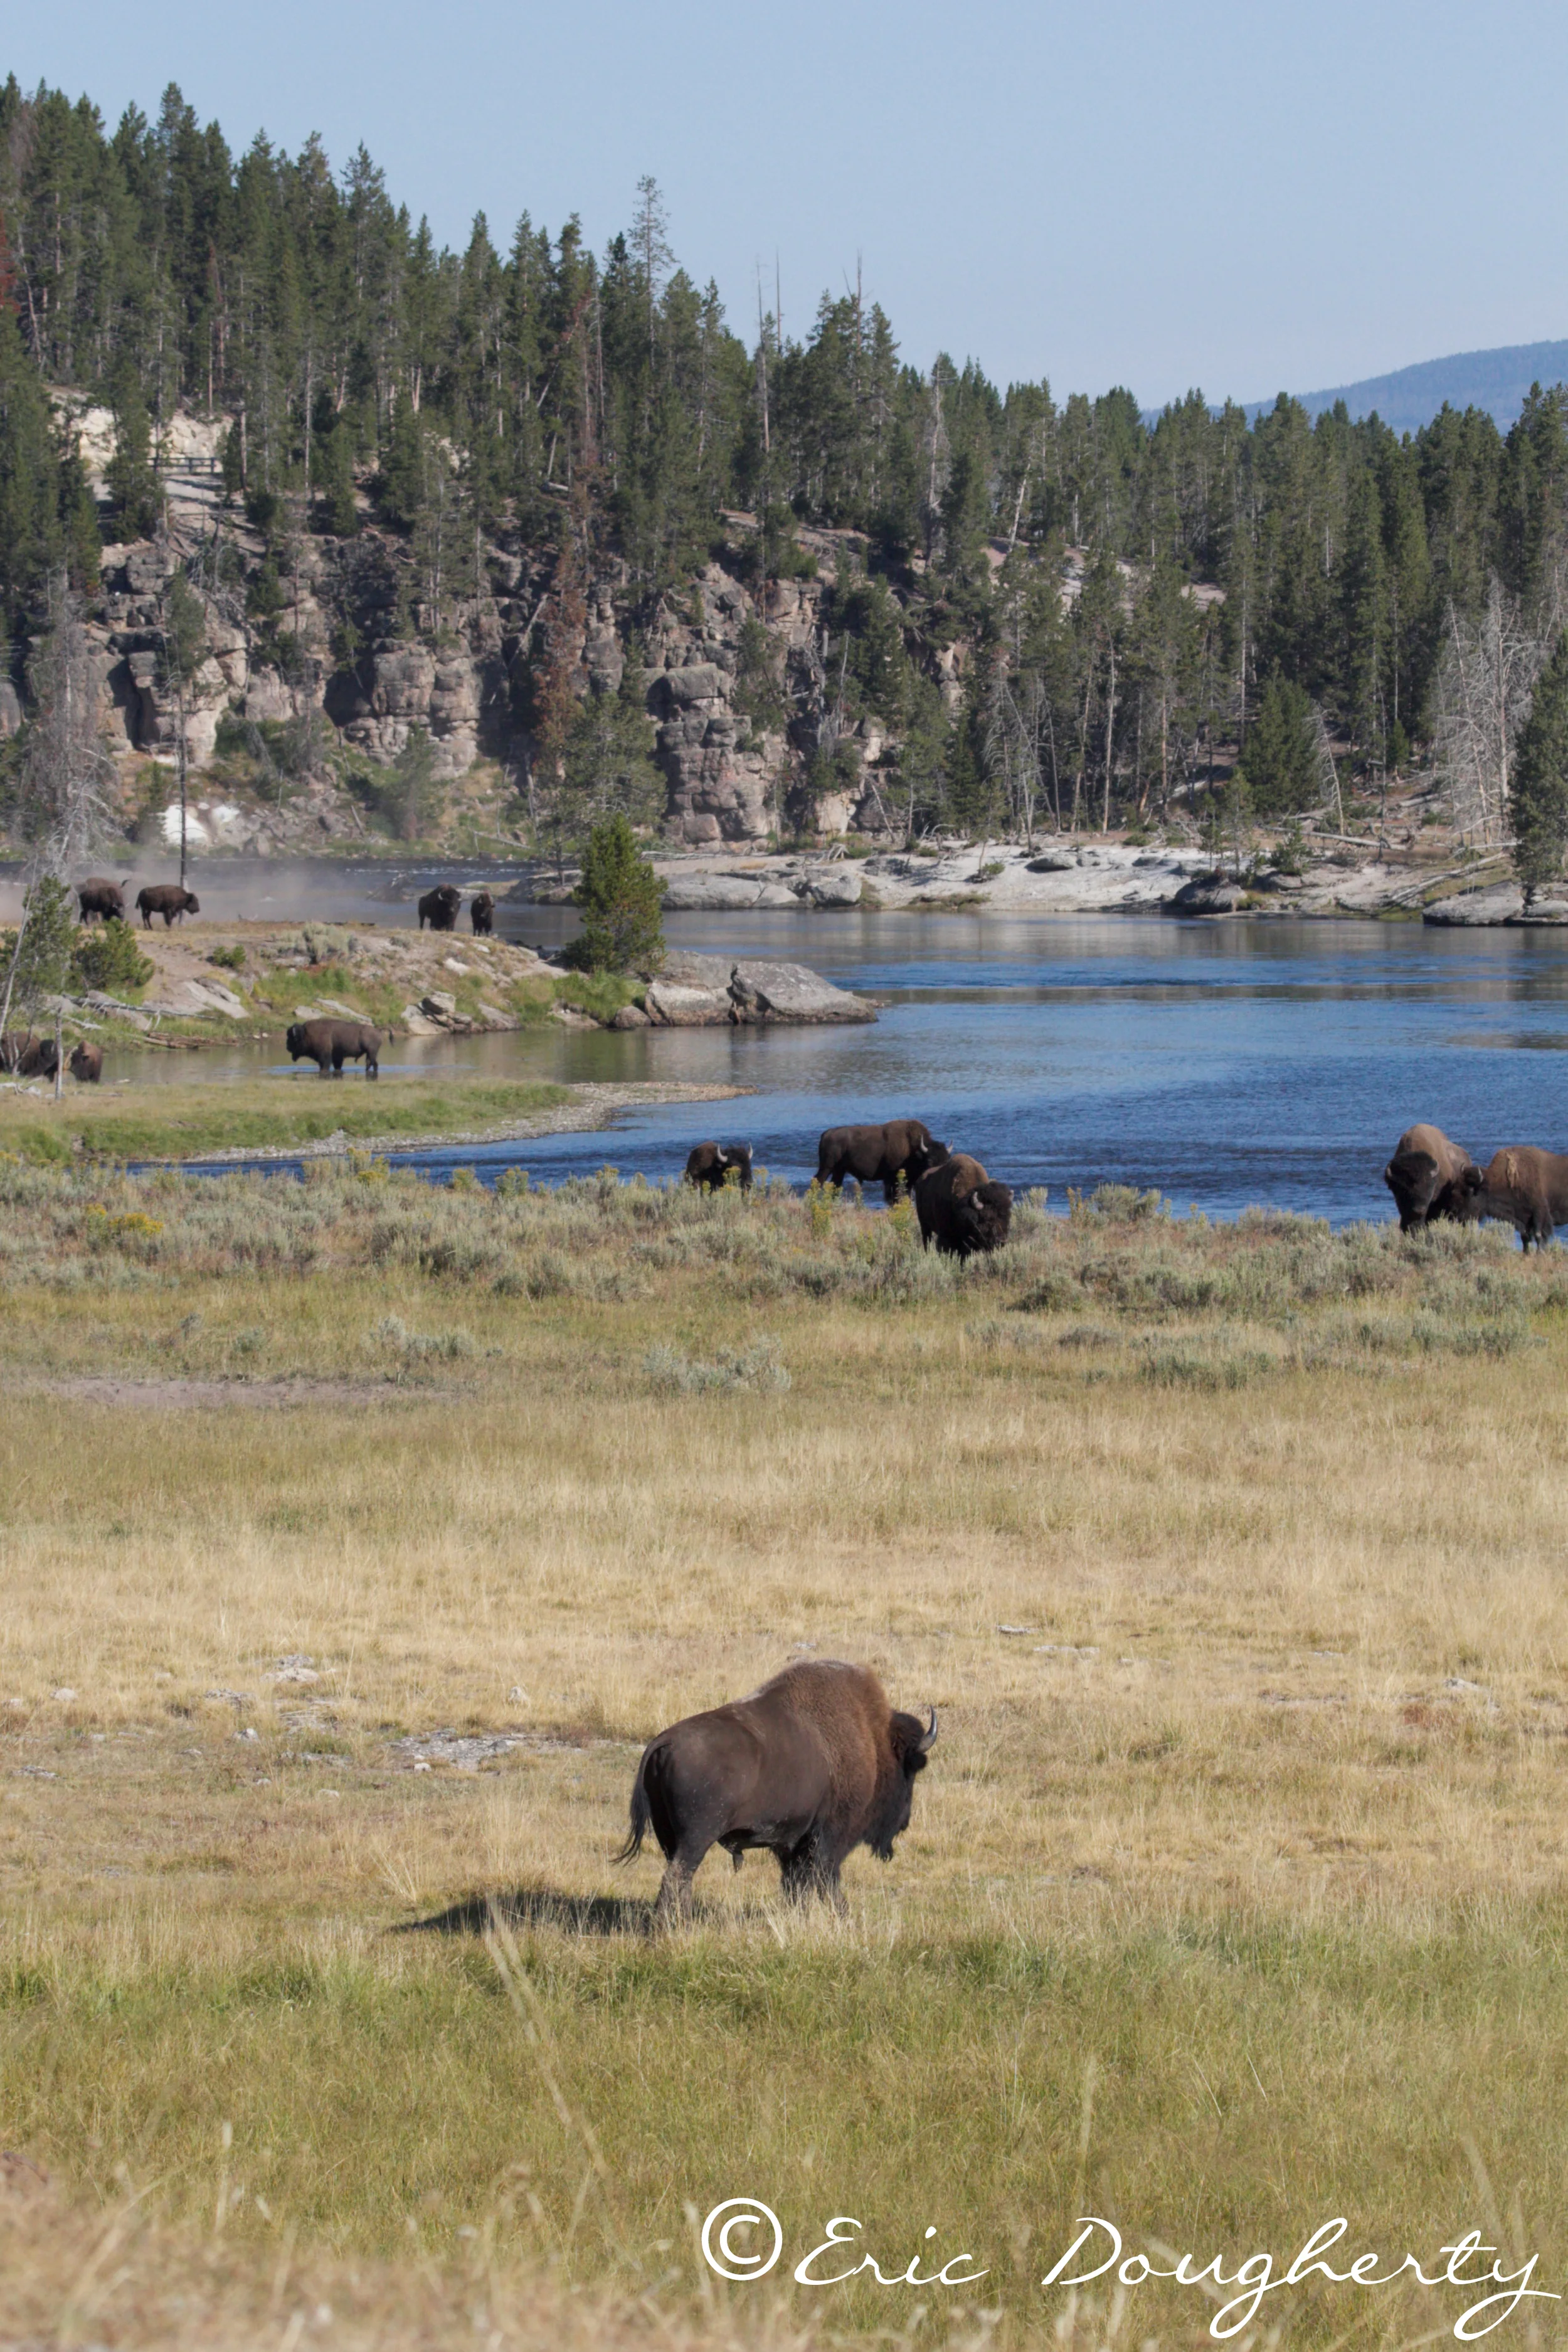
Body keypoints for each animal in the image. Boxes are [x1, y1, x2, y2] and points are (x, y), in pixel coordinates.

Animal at [286, 1018, 381, 1079]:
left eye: (293, 1038)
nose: (287, 1047)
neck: (306, 1034)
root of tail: (378, 1032)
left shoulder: (325, 1057)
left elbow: (325, 1066)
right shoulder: (337, 1058)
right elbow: (337, 1067)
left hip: (371, 1053)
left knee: (371, 1064)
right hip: (371, 1054)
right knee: (373, 1064)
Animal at [619, 1659, 937, 1922]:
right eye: (911, 1770)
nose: (904, 1822)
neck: (873, 1741)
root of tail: (665, 1741)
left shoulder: (793, 1842)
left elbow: (797, 1885)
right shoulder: (830, 1837)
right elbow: (825, 1880)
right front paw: (843, 1918)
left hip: (669, 1837)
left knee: (679, 1879)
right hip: (696, 1838)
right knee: (677, 1878)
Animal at [815, 1118, 950, 1204]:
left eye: (946, 1161)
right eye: (930, 1162)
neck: (913, 1149)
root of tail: (827, 1133)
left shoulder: (909, 1181)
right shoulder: (893, 1179)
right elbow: (894, 1197)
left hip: (839, 1171)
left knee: (835, 1186)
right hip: (826, 1167)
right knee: (818, 1181)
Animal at [914, 1151, 1013, 1258]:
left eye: (1007, 1216)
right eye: (987, 1218)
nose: (1002, 1241)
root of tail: (920, 1180)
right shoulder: (946, 1235)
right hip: (924, 1224)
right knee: (927, 1240)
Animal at [1469, 1146, 1568, 1250]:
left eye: (1473, 1192)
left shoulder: (1540, 1211)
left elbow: (1539, 1235)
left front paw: (1540, 1251)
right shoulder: (1523, 1218)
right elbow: (1525, 1237)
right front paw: (1527, 1252)